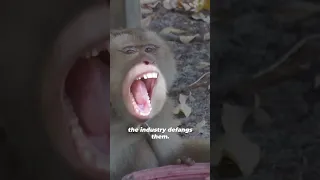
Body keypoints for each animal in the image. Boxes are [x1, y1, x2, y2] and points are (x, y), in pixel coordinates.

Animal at [109, 28, 211, 179]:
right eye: (130, 51)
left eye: (149, 49)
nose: (148, 60)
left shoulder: (159, 118)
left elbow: (173, 155)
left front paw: (182, 160)